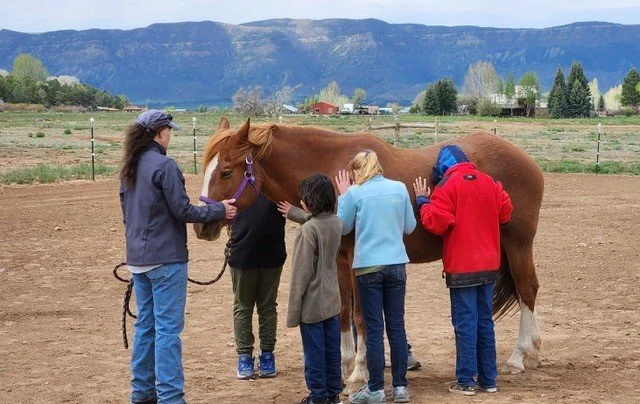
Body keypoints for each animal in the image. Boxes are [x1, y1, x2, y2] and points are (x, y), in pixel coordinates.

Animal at [194, 117, 544, 392]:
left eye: (226, 171)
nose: (202, 224)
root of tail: (527, 161)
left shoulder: (358, 262)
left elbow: (362, 316)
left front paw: (359, 374)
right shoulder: (338, 260)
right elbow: (343, 312)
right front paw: (344, 366)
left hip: (518, 243)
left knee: (528, 289)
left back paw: (520, 356)